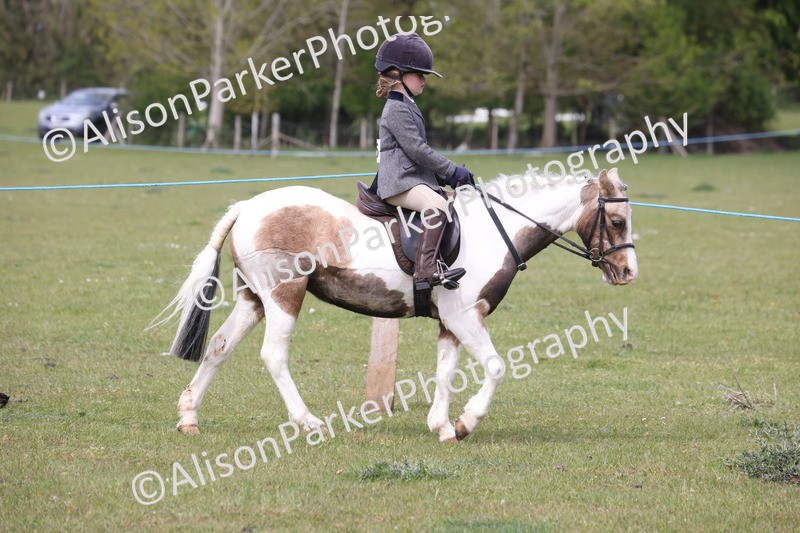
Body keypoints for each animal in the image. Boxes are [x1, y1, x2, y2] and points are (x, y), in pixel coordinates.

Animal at [152, 167, 637, 442]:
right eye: (616, 221)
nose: (629, 272)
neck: (493, 231)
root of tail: (249, 206)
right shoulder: (467, 316)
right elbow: (497, 367)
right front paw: (467, 422)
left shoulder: (452, 322)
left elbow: (445, 371)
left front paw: (442, 427)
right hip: (284, 295)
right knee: (274, 355)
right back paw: (310, 423)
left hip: (253, 299)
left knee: (219, 347)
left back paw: (189, 417)